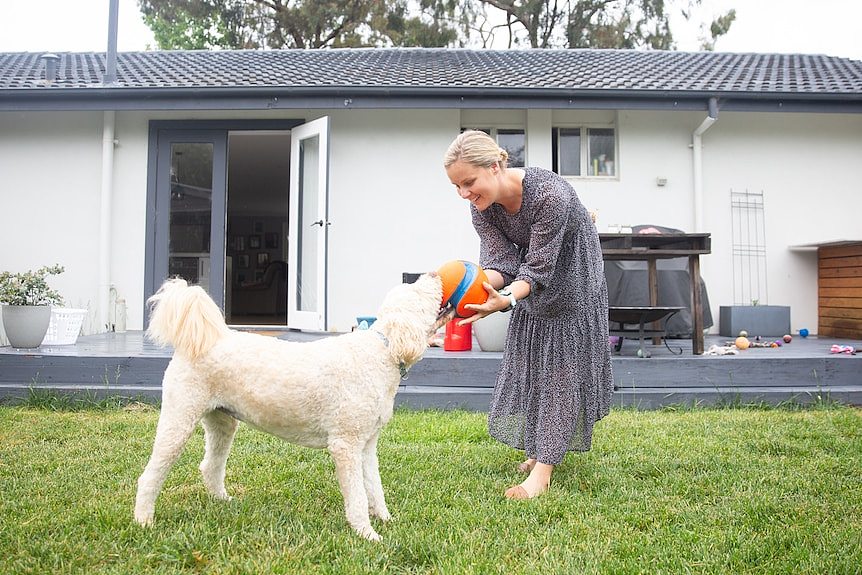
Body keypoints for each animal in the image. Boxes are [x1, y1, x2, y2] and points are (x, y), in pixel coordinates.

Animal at [137, 272, 446, 544]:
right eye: (418, 290)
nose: (433, 274)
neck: (381, 350)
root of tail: (204, 339)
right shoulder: (345, 444)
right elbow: (357, 495)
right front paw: (367, 534)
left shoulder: (367, 444)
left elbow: (375, 487)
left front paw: (384, 519)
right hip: (179, 418)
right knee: (150, 475)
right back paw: (144, 521)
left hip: (222, 422)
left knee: (210, 466)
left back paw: (223, 501)